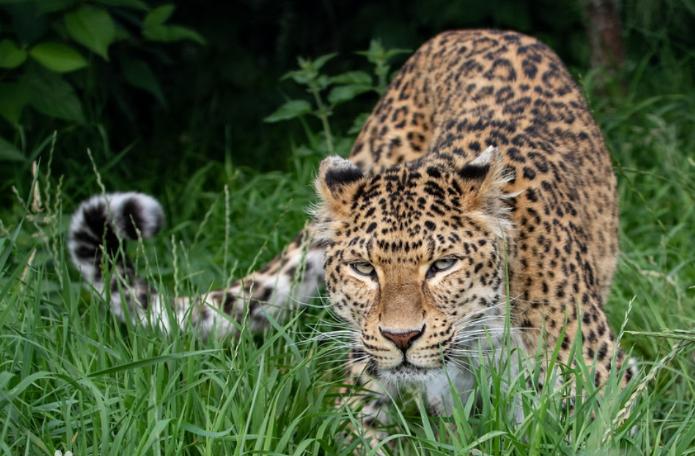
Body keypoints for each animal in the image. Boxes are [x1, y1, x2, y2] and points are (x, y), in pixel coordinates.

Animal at [69, 29, 636, 442]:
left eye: (442, 265)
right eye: (365, 269)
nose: (401, 338)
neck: (482, 345)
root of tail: (479, 29)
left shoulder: (609, 388)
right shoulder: (363, 400)